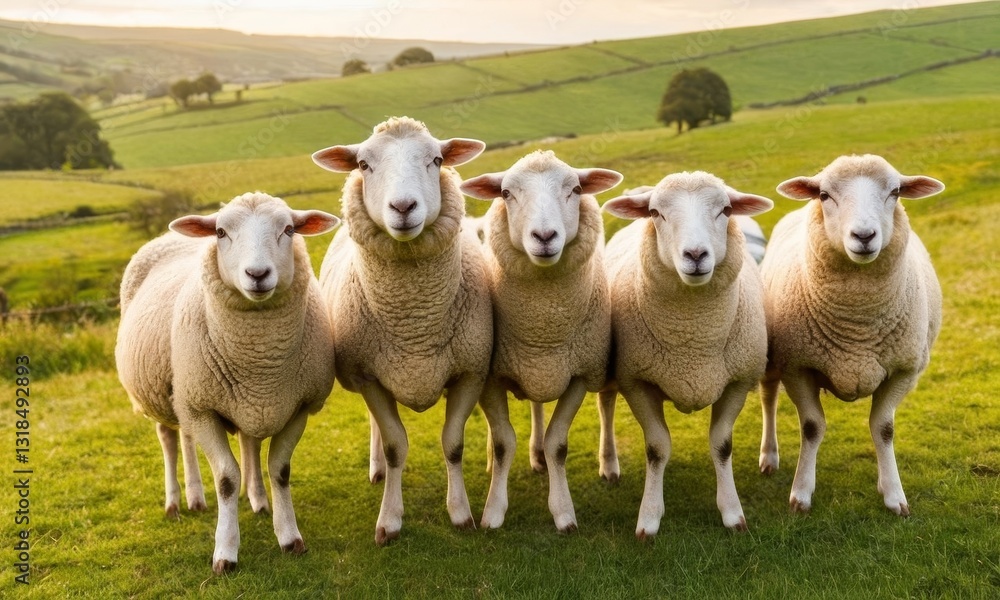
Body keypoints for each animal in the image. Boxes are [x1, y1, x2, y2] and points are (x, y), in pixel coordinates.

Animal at [115, 192, 340, 574]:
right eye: (220, 232)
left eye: (289, 229)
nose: (257, 274)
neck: (259, 358)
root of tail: (168, 237)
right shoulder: (202, 408)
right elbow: (225, 479)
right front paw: (226, 552)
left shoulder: (298, 406)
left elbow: (280, 470)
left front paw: (289, 537)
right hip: (166, 393)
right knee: (170, 439)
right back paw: (177, 501)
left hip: (199, 396)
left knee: (226, 440)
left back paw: (239, 498)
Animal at [312, 116, 492, 545]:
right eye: (363, 164)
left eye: (437, 159)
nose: (404, 207)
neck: (414, 321)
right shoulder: (369, 377)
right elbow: (396, 446)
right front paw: (389, 520)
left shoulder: (470, 372)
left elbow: (453, 445)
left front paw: (460, 513)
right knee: (378, 427)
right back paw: (377, 469)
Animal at [459, 149, 623, 531]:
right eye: (506, 193)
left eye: (575, 189)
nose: (545, 235)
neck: (543, 328)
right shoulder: (491, 377)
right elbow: (503, 443)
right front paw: (493, 512)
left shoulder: (579, 374)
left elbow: (557, 444)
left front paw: (563, 512)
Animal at [601, 171, 773, 539]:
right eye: (655, 213)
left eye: (726, 210)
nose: (695, 254)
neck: (692, 341)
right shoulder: (637, 383)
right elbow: (656, 449)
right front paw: (649, 517)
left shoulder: (737, 383)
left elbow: (722, 445)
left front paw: (732, 512)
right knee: (606, 404)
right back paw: (608, 464)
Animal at [758, 154, 944, 516]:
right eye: (824, 195)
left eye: (895, 192)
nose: (864, 235)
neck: (856, 325)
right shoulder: (797, 367)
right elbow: (811, 427)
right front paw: (801, 493)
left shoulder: (904, 370)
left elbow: (883, 429)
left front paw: (893, 493)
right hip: (772, 355)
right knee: (768, 396)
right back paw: (769, 456)